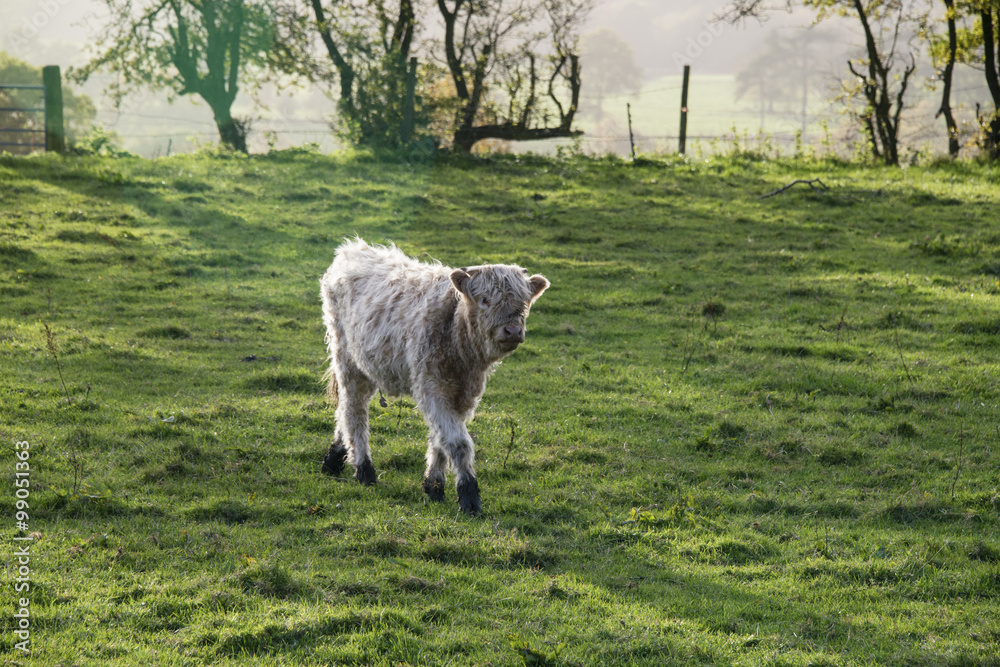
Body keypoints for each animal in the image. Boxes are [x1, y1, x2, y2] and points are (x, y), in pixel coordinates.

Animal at [319, 238, 549, 514]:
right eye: (484, 300)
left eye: (524, 303)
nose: (513, 330)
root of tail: (352, 249)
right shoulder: (431, 388)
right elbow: (458, 443)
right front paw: (469, 496)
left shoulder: (462, 395)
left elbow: (441, 439)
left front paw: (434, 486)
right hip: (348, 361)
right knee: (354, 411)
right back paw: (365, 471)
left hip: (367, 365)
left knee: (344, 409)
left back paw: (334, 458)